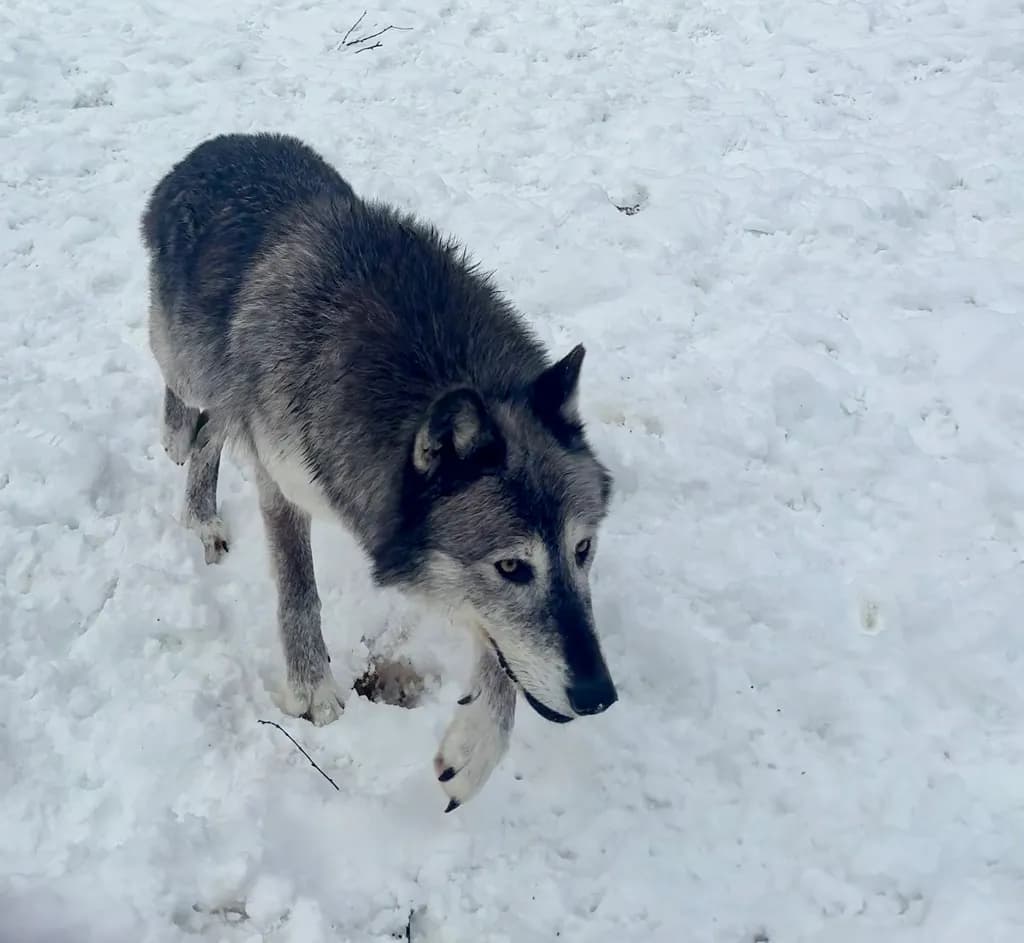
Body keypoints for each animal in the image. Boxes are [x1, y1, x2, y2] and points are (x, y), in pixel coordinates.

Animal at [140, 132, 618, 810]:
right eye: (511, 567)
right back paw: (191, 488)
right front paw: (313, 694)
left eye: (583, 550)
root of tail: (215, 144)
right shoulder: (281, 483)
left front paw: (474, 750)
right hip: (190, 367)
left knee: (216, 427)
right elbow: (299, 595)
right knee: (194, 414)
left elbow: (498, 656)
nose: (599, 696)